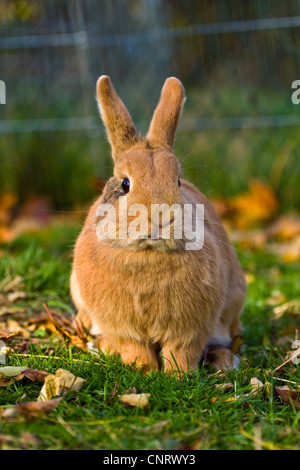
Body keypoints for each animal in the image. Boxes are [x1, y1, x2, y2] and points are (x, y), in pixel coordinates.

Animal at [70, 75, 246, 372]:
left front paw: (178, 376)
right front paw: (144, 371)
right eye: (125, 184)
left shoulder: (190, 328)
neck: (148, 255)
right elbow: (134, 347)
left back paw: (223, 361)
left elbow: (181, 351)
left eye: (177, 181)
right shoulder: (123, 328)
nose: (160, 218)